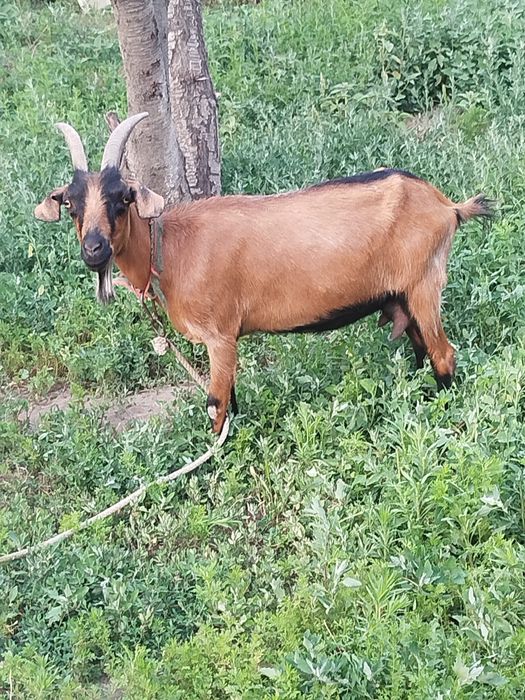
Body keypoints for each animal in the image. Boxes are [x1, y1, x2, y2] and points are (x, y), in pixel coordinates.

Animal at [35, 113, 493, 433]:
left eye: (121, 199)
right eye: (71, 204)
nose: (94, 250)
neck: (172, 248)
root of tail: (446, 206)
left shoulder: (220, 335)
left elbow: (216, 405)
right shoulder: (224, 341)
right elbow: (231, 401)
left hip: (424, 285)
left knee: (443, 354)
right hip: (402, 296)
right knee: (420, 348)